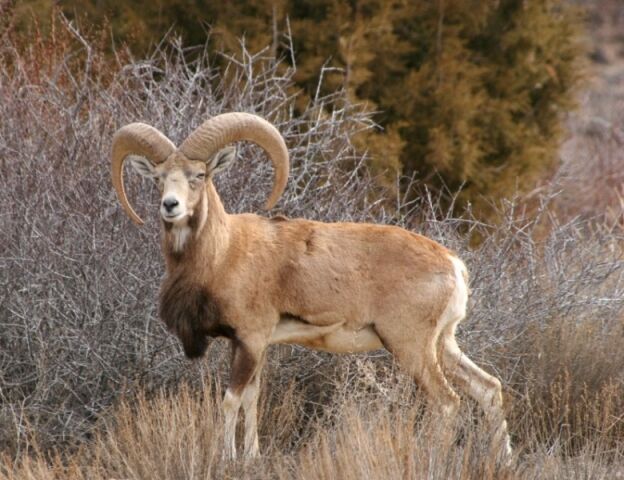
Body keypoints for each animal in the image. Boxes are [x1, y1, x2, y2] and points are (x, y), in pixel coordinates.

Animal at [111, 111, 512, 462]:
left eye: (198, 174)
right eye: (158, 177)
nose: (170, 205)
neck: (223, 253)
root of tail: (453, 265)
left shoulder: (251, 339)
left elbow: (230, 400)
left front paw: (227, 458)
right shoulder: (247, 345)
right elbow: (252, 398)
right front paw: (251, 456)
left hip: (411, 347)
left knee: (447, 403)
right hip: (443, 344)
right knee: (488, 389)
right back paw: (503, 461)